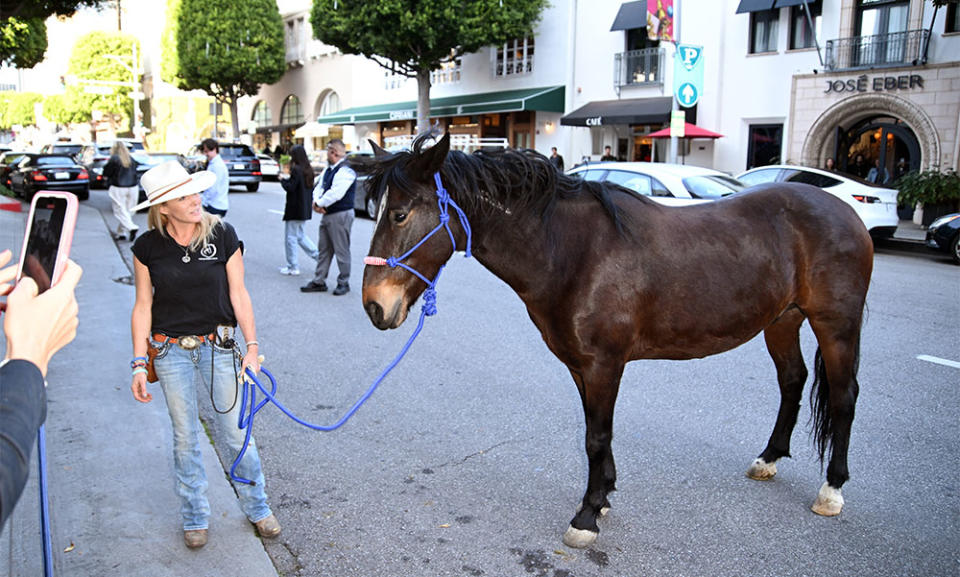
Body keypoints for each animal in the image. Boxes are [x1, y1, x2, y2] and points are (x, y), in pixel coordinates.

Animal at [356, 133, 872, 548]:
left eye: (400, 214)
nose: (374, 306)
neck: (572, 250)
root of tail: (846, 209)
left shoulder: (604, 363)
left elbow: (596, 436)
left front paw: (586, 516)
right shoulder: (579, 364)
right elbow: (595, 433)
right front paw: (602, 496)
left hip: (835, 324)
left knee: (844, 396)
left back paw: (832, 489)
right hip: (782, 320)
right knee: (792, 381)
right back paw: (768, 458)